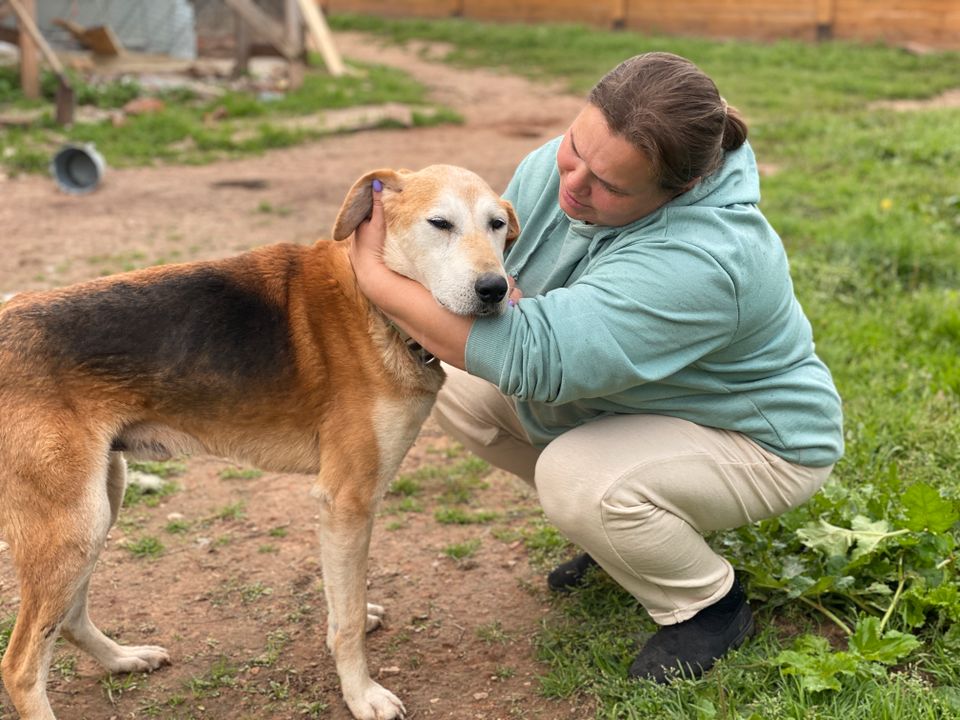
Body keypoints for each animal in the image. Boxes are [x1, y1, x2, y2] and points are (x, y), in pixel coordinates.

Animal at [0, 165, 520, 720]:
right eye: (439, 223)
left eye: (495, 225)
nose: (495, 288)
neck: (370, 301)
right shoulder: (348, 500)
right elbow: (348, 622)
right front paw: (361, 694)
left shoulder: (339, 513)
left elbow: (343, 599)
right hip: (75, 525)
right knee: (21, 664)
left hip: (98, 506)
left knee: (69, 619)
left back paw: (124, 658)